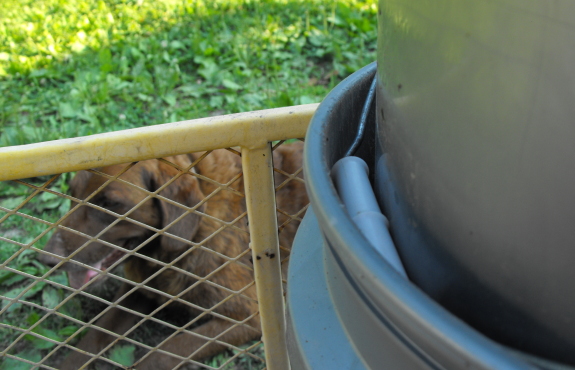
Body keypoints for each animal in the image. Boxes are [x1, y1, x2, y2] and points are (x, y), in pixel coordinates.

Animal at [38, 141, 308, 368]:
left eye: (110, 203)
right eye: (72, 194)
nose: (48, 259)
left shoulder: (248, 316)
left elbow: (164, 352)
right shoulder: (139, 288)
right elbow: (94, 335)